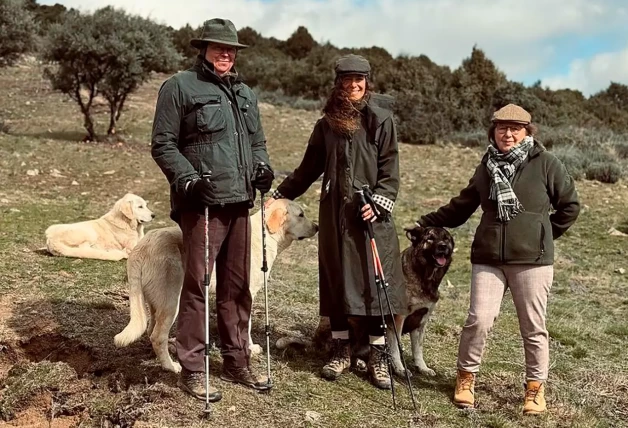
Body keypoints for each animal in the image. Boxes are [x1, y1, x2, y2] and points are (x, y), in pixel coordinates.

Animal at [114, 199, 318, 372]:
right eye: (301, 214)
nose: (317, 227)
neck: (266, 237)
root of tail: (141, 249)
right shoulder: (246, 294)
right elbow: (247, 326)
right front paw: (250, 348)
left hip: (156, 303)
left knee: (151, 331)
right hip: (171, 303)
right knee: (157, 337)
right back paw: (170, 366)